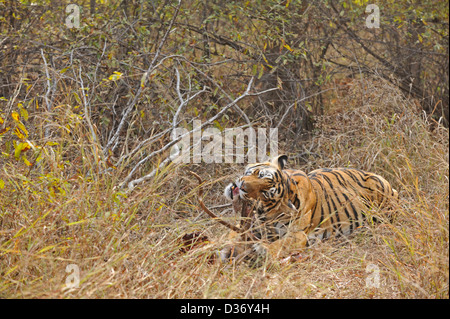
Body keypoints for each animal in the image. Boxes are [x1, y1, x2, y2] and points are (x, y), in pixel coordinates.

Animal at [220, 155, 400, 268]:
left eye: (264, 193)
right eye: (259, 174)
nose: (242, 187)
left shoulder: (298, 234)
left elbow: (280, 244)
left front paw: (262, 249)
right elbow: (232, 236)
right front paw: (226, 250)